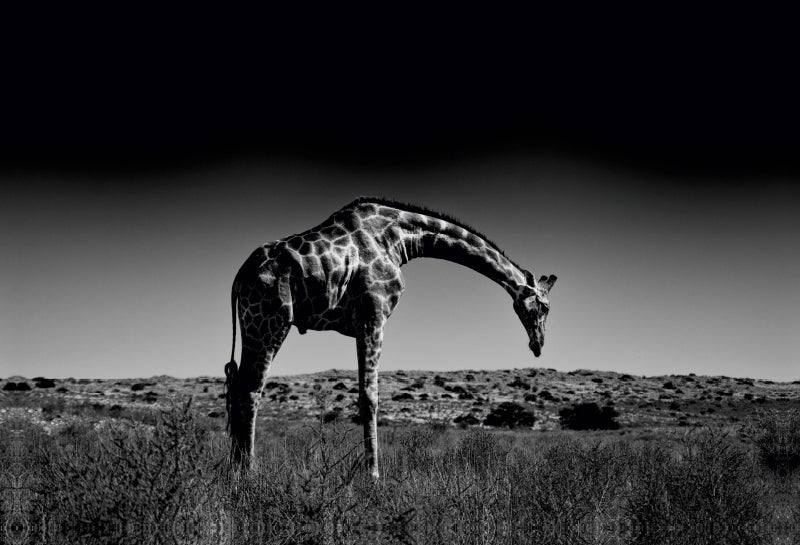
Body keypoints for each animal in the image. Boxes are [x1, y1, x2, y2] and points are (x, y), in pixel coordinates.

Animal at [224, 197, 557, 478]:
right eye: (545, 306)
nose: (538, 345)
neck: (400, 239)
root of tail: (239, 277)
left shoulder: (365, 321)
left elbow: (365, 395)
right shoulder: (373, 316)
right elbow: (369, 397)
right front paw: (373, 475)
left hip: (251, 324)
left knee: (237, 385)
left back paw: (234, 470)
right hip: (270, 321)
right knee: (252, 389)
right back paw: (249, 471)